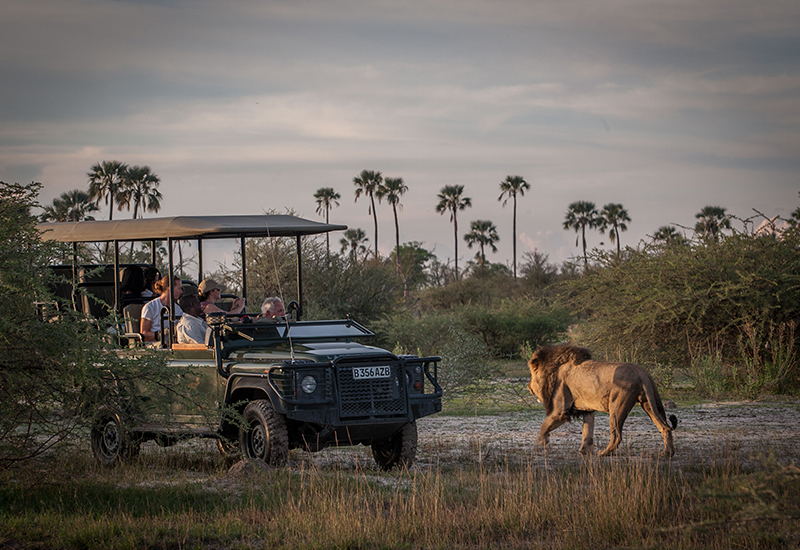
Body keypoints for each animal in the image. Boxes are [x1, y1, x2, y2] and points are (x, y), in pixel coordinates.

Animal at [528, 344, 680, 458]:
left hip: (617, 407)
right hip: (651, 402)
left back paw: (604, 453)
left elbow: (544, 425)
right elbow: (587, 432)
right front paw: (584, 451)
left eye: (531, 375)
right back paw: (667, 453)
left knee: (617, 435)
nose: (528, 385)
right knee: (664, 427)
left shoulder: (560, 410)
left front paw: (541, 442)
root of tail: (641, 372)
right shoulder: (587, 410)